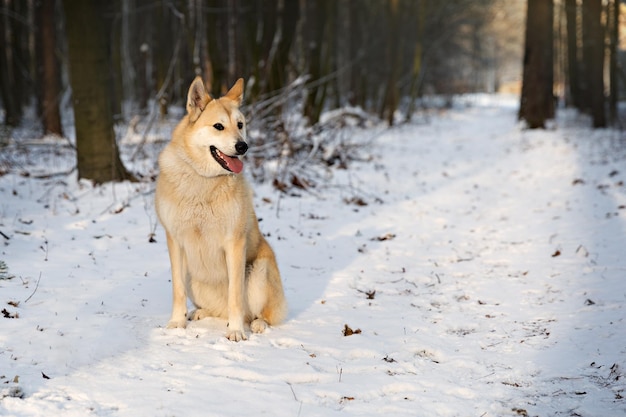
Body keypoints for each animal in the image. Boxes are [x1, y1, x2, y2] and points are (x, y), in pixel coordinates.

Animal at [155, 77, 286, 342]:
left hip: (258, 271)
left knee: (257, 313)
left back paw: (256, 324)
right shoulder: (175, 241)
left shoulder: (234, 243)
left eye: (240, 125)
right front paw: (177, 322)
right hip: (193, 275)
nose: (243, 146)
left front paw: (235, 331)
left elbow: (235, 296)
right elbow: (177, 290)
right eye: (218, 126)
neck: (203, 181)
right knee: (218, 309)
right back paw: (200, 313)